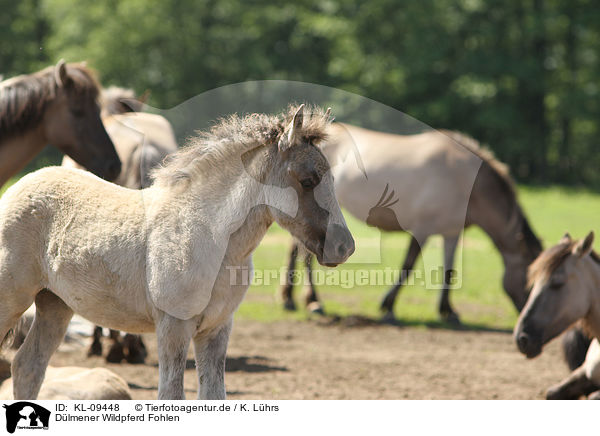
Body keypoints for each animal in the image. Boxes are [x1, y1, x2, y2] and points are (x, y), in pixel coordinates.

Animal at [282, 124, 544, 322]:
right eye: (530, 281)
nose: (527, 317)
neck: (461, 178)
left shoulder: (451, 232)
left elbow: (449, 270)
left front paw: (448, 311)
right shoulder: (422, 230)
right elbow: (407, 266)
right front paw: (388, 306)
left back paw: (292, 299)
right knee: (303, 254)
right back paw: (312, 302)